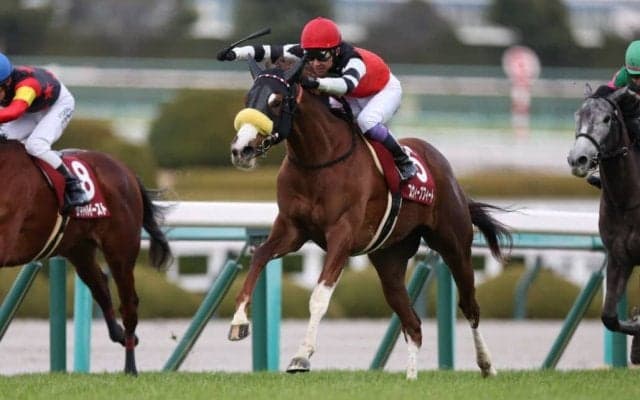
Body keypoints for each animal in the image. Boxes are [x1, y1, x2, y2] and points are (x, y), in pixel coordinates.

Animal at [0, 138, 172, 375]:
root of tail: (127, 171)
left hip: (121, 250)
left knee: (129, 303)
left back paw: (130, 366)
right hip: (79, 249)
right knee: (101, 286)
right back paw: (120, 335)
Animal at [228, 59, 511, 379]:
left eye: (276, 101)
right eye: (248, 98)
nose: (241, 149)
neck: (318, 161)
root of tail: (446, 168)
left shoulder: (342, 234)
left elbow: (319, 296)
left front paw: (301, 356)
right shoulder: (292, 229)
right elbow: (259, 257)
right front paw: (238, 322)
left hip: (455, 245)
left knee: (469, 306)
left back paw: (487, 365)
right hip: (390, 259)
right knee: (412, 323)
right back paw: (412, 377)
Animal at [567, 84, 640, 364]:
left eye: (607, 118)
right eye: (577, 115)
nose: (578, 159)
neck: (627, 199)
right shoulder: (619, 257)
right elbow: (609, 317)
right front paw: (636, 335)